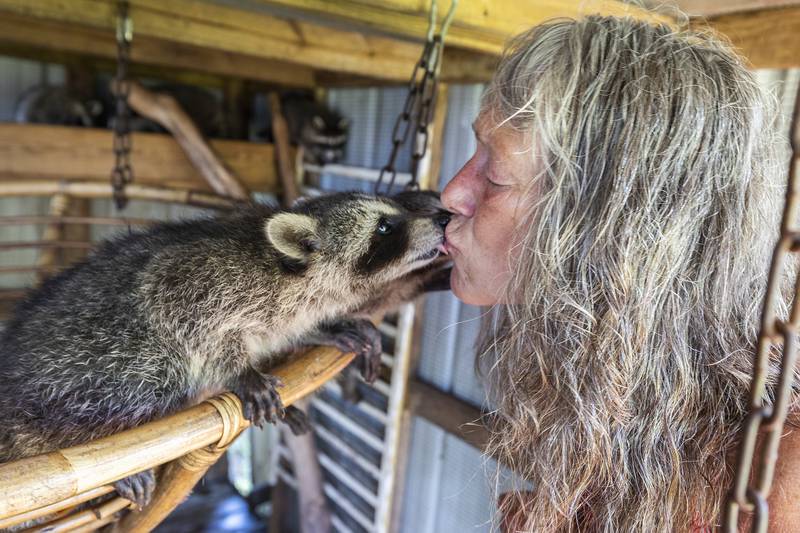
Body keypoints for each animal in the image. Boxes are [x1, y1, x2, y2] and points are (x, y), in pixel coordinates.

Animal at [0, 191, 450, 507]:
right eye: (385, 227)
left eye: (396, 213)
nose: (444, 217)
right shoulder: (207, 274)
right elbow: (168, 300)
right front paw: (237, 370)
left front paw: (324, 328)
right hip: (83, 363)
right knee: (144, 373)